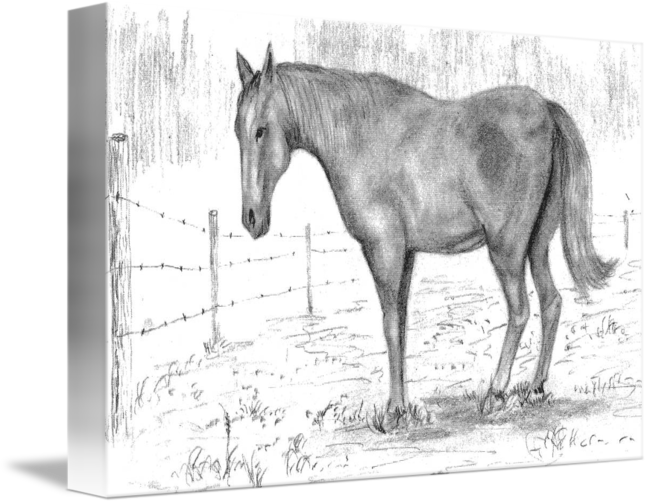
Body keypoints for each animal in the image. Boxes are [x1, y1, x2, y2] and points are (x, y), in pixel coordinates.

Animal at [233, 43, 617, 415]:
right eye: (238, 130)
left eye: (261, 130)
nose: (251, 218)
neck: (361, 136)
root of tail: (546, 109)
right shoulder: (405, 254)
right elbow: (401, 324)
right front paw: (403, 405)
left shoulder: (383, 250)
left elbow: (389, 324)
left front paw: (393, 412)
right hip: (536, 243)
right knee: (551, 302)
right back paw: (535, 388)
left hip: (506, 249)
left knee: (520, 310)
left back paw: (495, 394)